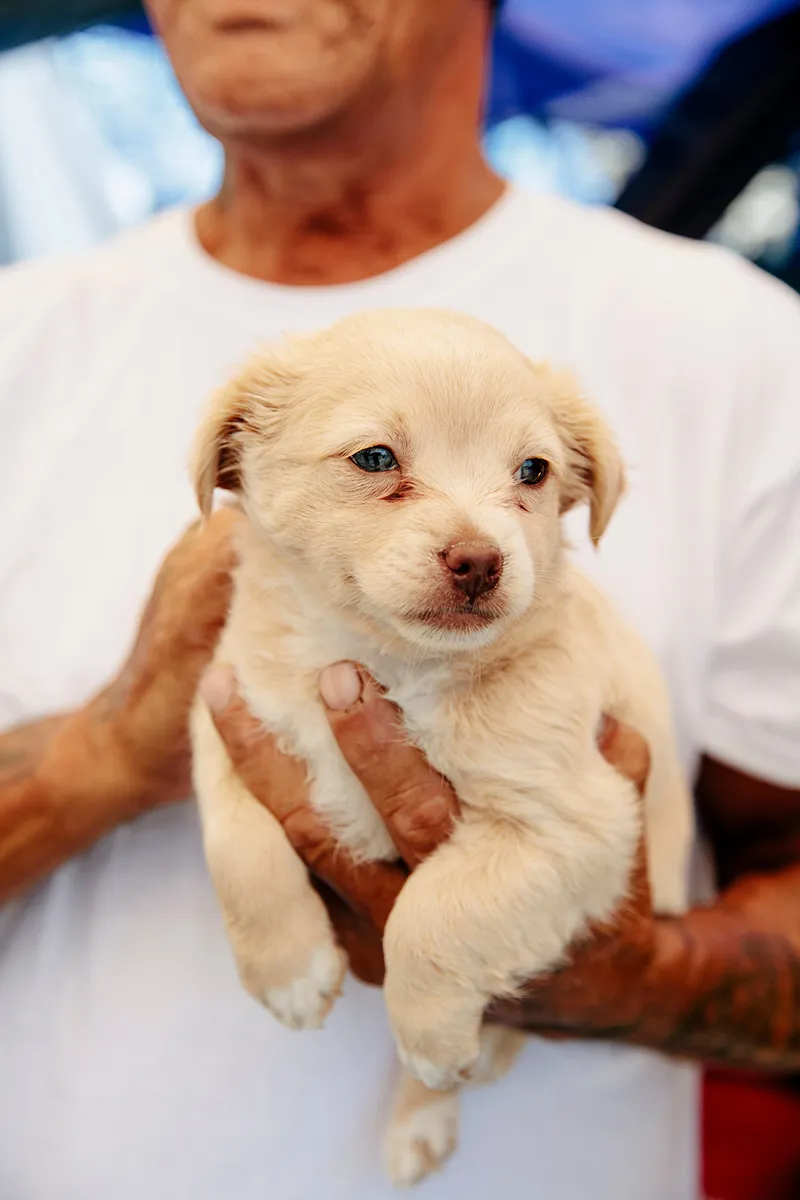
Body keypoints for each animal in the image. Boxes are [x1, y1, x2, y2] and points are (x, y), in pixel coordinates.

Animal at [189, 304, 695, 1185]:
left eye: (533, 471)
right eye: (375, 458)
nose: (479, 562)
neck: (384, 661)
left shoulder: (574, 822)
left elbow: (432, 914)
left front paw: (427, 1034)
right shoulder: (227, 711)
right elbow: (236, 843)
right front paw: (288, 972)